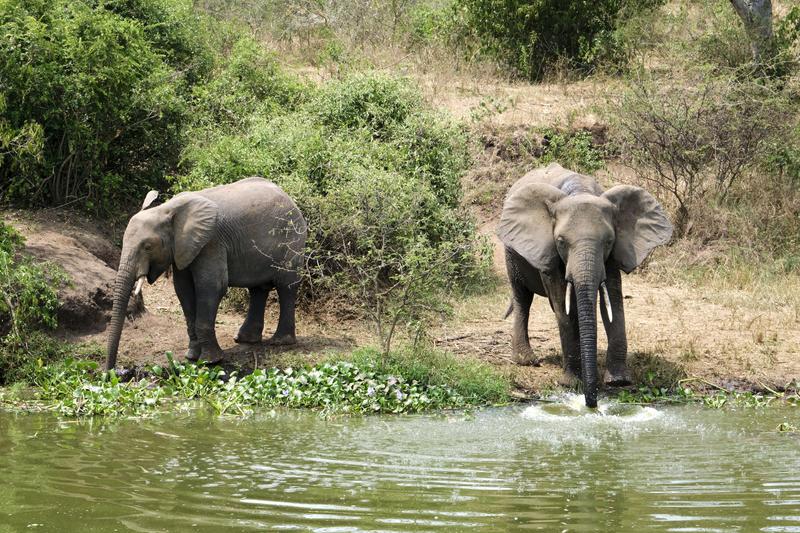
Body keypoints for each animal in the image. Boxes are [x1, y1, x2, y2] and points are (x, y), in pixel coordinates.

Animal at [106, 177, 306, 368]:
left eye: (147, 247)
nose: (110, 372)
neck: (166, 209)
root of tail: (288, 196)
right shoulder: (183, 248)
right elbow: (183, 289)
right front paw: (192, 357)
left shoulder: (211, 242)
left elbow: (211, 287)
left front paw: (210, 361)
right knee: (257, 289)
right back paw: (245, 339)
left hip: (292, 240)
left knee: (286, 286)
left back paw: (280, 342)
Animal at [496, 164, 672, 406]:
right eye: (561, 242)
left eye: (608, 241)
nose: (591, 403)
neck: (580, 192)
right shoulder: (549, 252)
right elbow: (563, 306)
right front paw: (572, 384)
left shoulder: (613, 254)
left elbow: (613, 302)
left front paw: (618, 381)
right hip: (512, 252)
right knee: (522, 297)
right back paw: (526, 360)